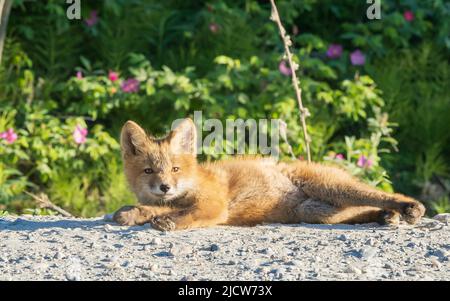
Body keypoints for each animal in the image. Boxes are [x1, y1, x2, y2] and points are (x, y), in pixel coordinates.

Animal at [112, 118, 426, 231]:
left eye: (175, 169)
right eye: (149, 171)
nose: (165, 187)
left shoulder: (214, 205)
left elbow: (186, 214)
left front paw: (168, 222)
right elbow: (152, 208)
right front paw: (134, 213)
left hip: (333, 189)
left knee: (385, 195)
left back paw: (408, 208)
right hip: (318, 212)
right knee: (362, 211)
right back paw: (385, 217)